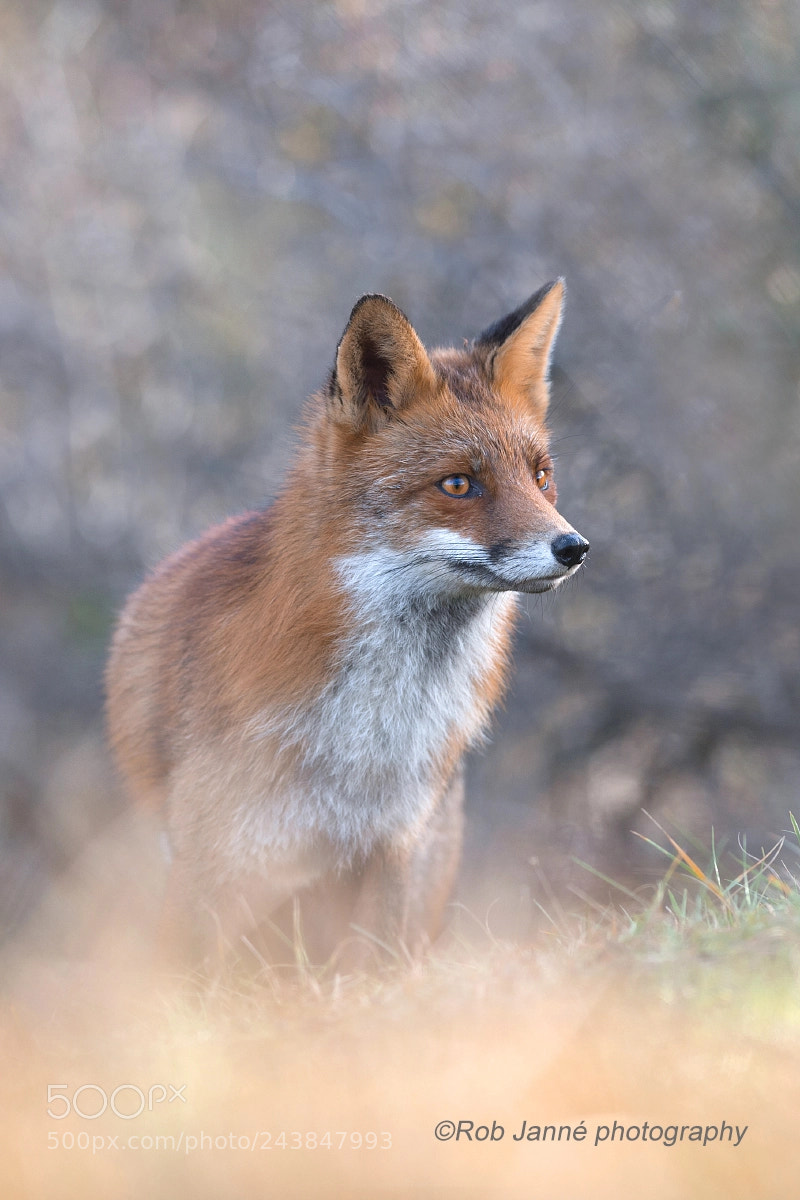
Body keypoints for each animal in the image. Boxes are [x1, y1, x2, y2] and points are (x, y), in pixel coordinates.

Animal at [105, 279, 588, 971]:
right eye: (459, 484)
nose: (574, 547)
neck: (369, 736)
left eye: (541, 476)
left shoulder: (393, 847)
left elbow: (372, 974)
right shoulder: (212, 861)